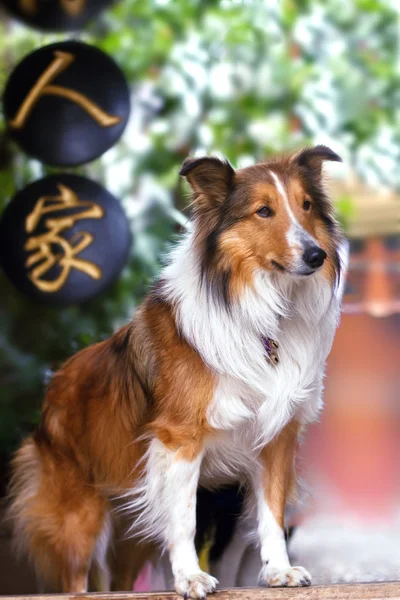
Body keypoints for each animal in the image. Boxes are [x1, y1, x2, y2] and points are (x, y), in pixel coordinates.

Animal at [8, 145, 346, 596]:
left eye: (306, 205)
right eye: (263, 211)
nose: (316, 255)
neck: (261, 313)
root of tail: (55, 382)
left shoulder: (276, 437)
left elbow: (271, 515)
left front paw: (279, 571)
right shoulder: (179, 439)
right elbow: (184, 518)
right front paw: (189, 578)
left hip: (130, 522)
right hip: (79, 514)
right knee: (75, 578)